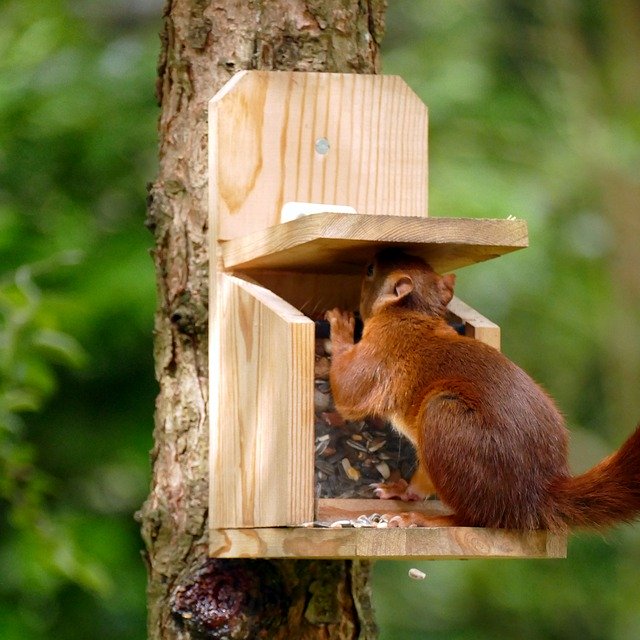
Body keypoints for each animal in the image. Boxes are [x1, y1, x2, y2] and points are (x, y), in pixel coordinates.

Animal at [325, 248, 640, 532]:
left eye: (370, 270)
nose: (369, 258)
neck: (412, 312)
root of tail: (536, 493)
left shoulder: (382, 349)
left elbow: (347, 392)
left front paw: (340, 326)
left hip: (446, 420)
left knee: (477, 518)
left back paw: (424, 519)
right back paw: (402, 491)